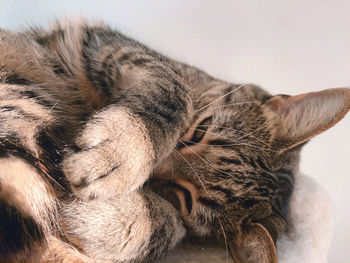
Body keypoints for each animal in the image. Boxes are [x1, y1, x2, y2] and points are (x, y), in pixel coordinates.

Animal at [0, 19, 348, 263]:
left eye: (186, 198)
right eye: (199, 131)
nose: (154, 169)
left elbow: (174, 227)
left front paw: (109, 221)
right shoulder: (107, 44)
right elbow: (173, 88)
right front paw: (122, 152)